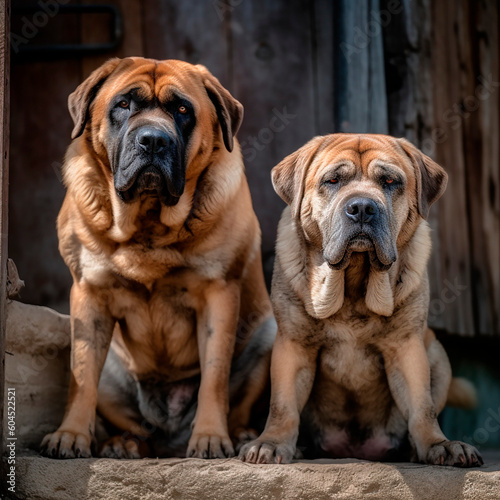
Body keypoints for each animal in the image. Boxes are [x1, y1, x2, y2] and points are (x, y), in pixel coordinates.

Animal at [41, 56, 276, 458]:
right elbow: (82, 375)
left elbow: (214, 375)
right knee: (133, 422)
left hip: (268, 335)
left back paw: (241, 435)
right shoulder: (89, 293)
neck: (148, 222)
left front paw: (210, 437)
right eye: (123, 104)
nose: (153, 139)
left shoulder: (218, 293)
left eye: (182, 110)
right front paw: (70, 435)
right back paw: (123, 444)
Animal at [240, 134, 482, 468]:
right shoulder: (293, 343)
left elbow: (423, 407)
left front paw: (439, 445)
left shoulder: (406, 346)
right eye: (332, 180)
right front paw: (272, 442)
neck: (353, 282)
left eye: (390, 181)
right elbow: (282, 404)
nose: (363, 208)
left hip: (436, 352)